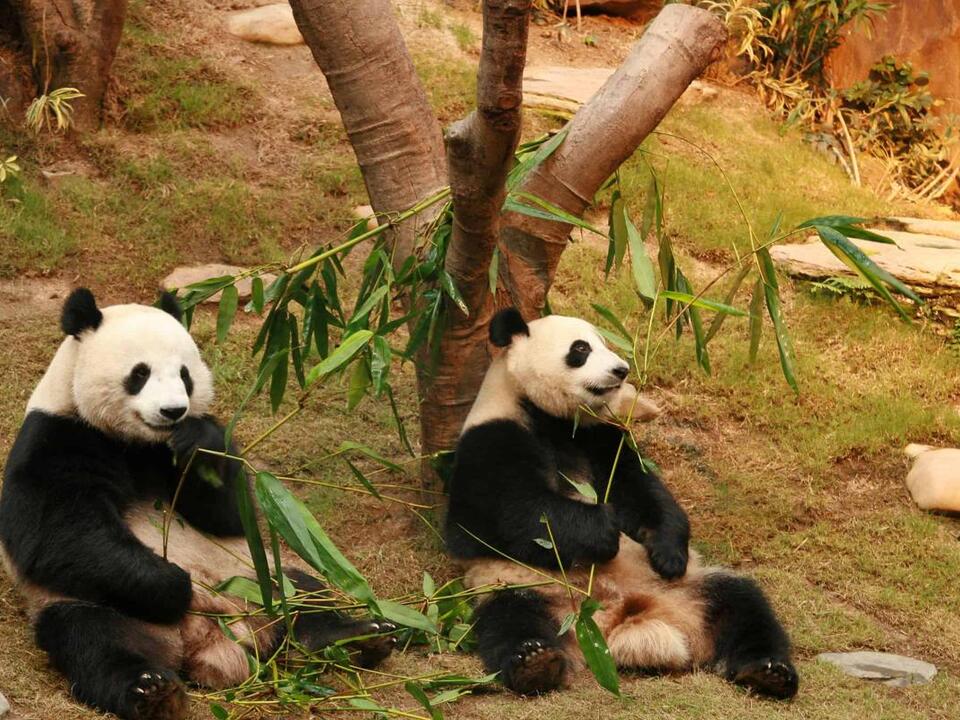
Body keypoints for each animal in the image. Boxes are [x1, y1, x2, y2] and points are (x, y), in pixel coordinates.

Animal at [0, 288, 396, 720]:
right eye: (140, 373)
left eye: (184, 375)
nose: (173, 411)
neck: (139, 443)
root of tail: (211, 642)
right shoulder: (58, 436)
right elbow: (60, 533)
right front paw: (175, 584)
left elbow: (230, 514)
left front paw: (196, 443)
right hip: (97, 606)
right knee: (94, 641)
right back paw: (151, 690)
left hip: (254, 575)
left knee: (301, 594)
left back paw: (355, 636)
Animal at [445, 308, 799, 699]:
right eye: (581, 349)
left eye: (604, 342)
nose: (621, 369)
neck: (550, 417)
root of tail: (618, 617)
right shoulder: (492, 437)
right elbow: (501, 516)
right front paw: (603, 531)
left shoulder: (598, 437)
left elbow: (640, 488)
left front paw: (669, 553)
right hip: (525, 587)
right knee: (511, 621)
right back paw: (535, 663)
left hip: (691, 587)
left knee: (743, 606)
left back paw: (768, 671)